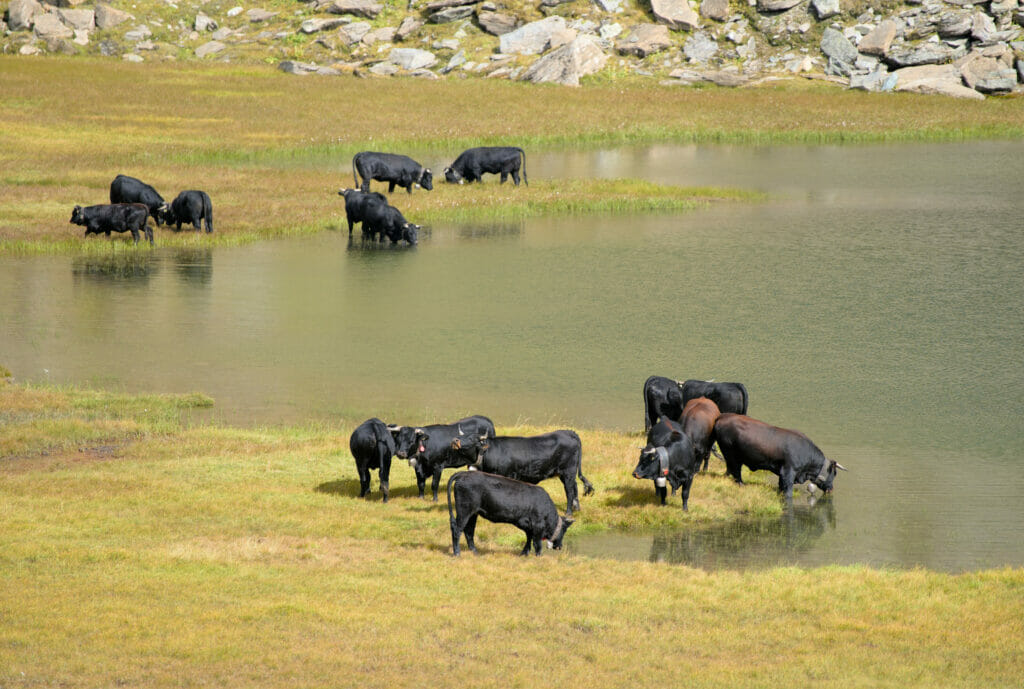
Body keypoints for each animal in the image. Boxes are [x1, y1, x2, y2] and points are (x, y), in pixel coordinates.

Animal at [448, 470, 577, 556]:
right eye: (565, 530)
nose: (560, 547)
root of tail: (463, 474)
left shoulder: (528, 525)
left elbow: (529, 538)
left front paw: (524, 553)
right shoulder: (537, 525)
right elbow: (537, 543)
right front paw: (538, 556)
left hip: (473, 513)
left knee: (469, 530)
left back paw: (475, 552)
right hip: (464, 510)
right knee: (457, 529)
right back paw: (457, 553)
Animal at [712, 411, 847, 501]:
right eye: (835, 473)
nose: (831, 489)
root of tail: (723, 416)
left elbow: (781, 487)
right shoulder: (788, 472)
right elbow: (788, 491)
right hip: (731, 455)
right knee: (735, 471)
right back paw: (741, 484)